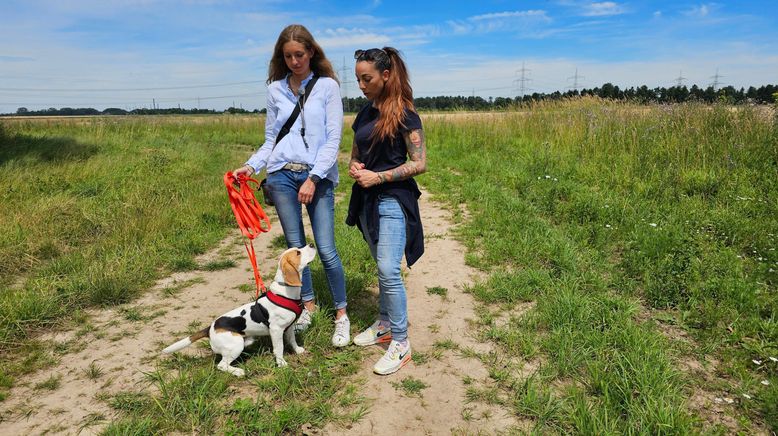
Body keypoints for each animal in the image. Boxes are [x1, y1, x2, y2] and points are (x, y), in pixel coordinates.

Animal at [161, 245, 316, 374]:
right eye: (298, 253)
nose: (311, 244)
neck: (286, 291)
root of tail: (210, 328)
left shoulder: (289, 327)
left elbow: (292, 340)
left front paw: (298, 350)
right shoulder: (276, 330)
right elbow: (279, 349)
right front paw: (281, 363)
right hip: (236, 344)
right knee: (221, 365)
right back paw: (238, 372)